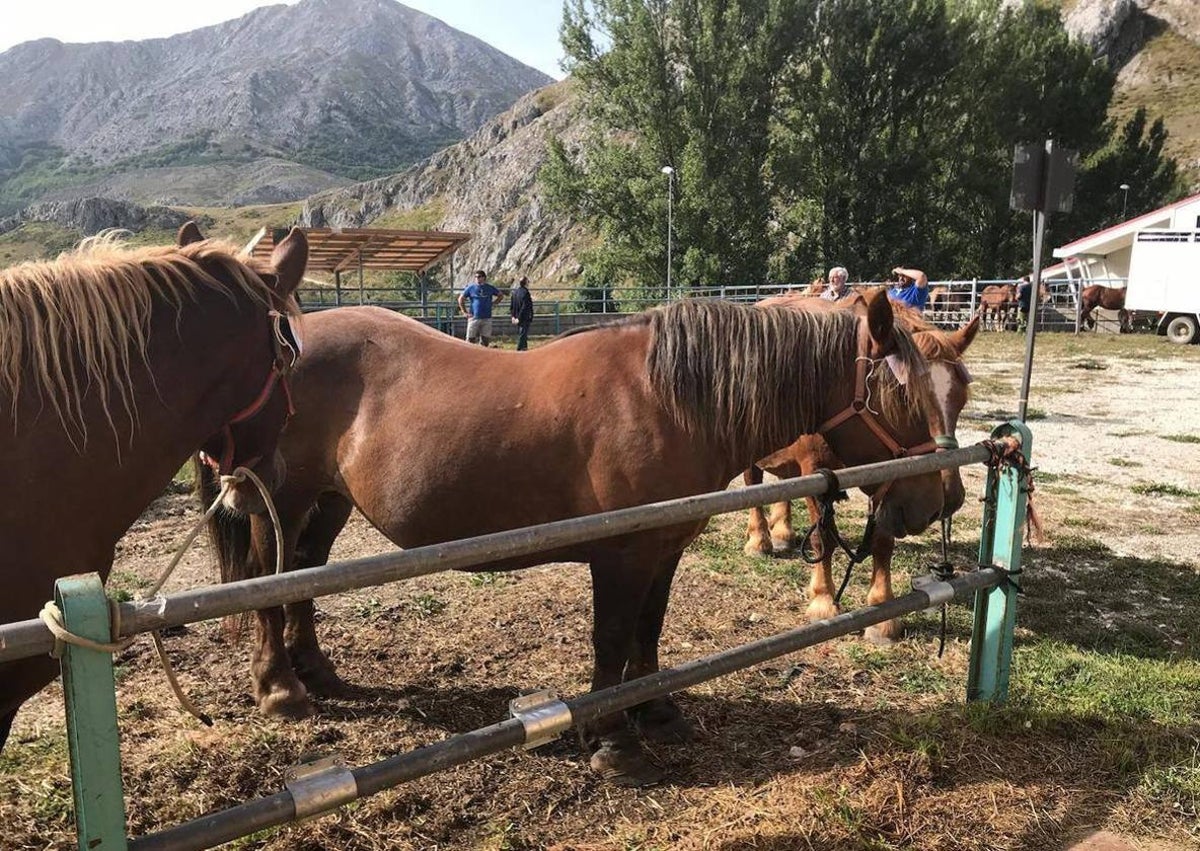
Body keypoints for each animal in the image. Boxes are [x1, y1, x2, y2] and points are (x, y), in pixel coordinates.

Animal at [199, 290, 945, 782]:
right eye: (905, 397)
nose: (933, 502)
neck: (669, 398)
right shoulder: (620, 556)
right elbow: (612, 639)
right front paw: (615, 741)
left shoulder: (662, 549)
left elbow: (648, 632)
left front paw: (655, 710)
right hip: (279, 502)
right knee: (269, 581)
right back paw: (281, 688)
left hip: (329, 503)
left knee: (304, 575)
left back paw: (316, 670)